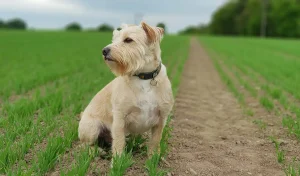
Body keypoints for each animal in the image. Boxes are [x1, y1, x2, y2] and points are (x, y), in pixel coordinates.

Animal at [78, 21, 173, 157]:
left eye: (128, 40)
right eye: (114, 39)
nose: (104, 50)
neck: (143, 78)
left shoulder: (161, 117)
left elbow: (155, 141)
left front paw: (154, 158)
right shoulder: (119, 117)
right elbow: (118, 142)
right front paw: (118, 161)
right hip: (92, 127)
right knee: (85, 145)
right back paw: (97, 151)